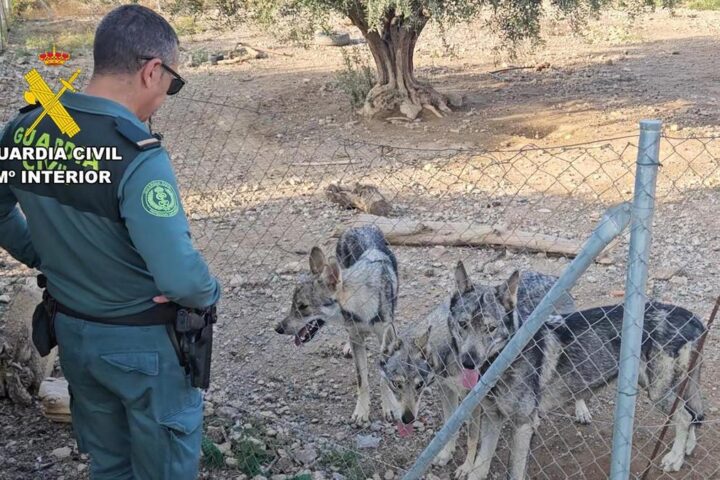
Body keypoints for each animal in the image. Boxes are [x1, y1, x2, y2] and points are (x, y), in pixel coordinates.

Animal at [382, 266, 584, 476]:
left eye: (419, 385)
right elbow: (449, 426)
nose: (407, 419)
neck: (450, 350)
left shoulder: (475, 401)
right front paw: (446, 453)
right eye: (396, 384)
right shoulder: (447, 390)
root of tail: (548, 275)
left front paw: (467, 467)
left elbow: (473, 438)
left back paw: (581, 411)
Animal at [448, 268, 704, 478]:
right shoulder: (493, 418)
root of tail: (691, 316)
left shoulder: (523, 425)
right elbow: (479, 468)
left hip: (657, 391)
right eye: (463, 324)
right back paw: (687, 448)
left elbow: (514, 472)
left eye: (490, 329)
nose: (468, 362)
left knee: (685, 416)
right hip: (660, 386)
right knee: (694, 412)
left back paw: (675, 458)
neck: (505, 358)